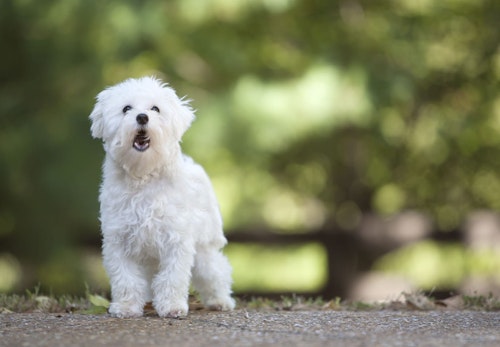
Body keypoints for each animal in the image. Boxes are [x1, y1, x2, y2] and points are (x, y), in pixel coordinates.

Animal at [89, 76, 234, 318]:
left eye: (155, 108)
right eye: (126, 109)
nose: (142, 117)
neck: (144, 176)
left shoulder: (176, 240)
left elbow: (172, 278)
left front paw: (172, 306)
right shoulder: (119, 240)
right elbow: (125, 278)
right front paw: (126, 307)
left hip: (205, 247)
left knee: (215, 271)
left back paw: (220, 301)